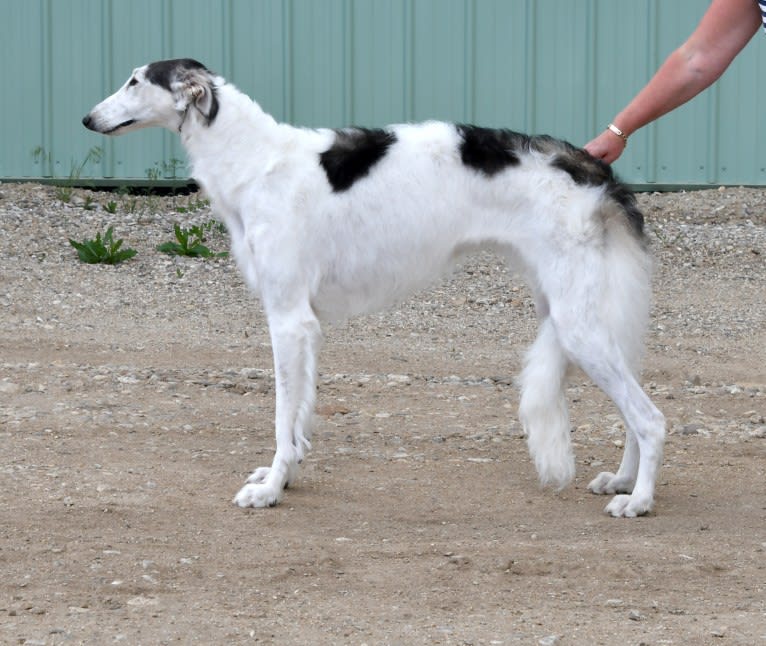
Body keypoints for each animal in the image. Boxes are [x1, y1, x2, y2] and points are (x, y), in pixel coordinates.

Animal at [84, 58, 664, 520]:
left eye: (135, 81)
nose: (87, 119)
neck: (256, 161)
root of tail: (592, 168)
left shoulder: (287, 318)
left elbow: (281, 417)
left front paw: (270, 490)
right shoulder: (307, 325)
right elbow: (298, 419)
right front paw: (283, 477)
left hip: (578, 323)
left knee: (651, 419)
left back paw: (638, 499)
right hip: (578, 315)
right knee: (634, 412)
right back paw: (622, 479)